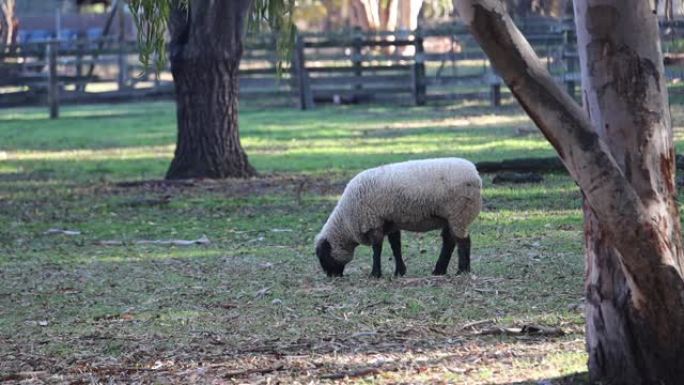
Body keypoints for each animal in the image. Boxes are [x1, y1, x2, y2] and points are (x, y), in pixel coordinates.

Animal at [316, 158, 480, 278]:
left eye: (323, 256)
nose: (331, 276)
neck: (347, 221)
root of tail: (475, 174)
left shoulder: (374, 222)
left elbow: (377, 248)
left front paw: (375, 274)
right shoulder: (390, 222)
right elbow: (396, 247)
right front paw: (399, 272)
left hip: (459, 213)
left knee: (463, 241)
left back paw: (462, 271)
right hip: (450, 217)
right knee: (449, 241)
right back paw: (439, 270)